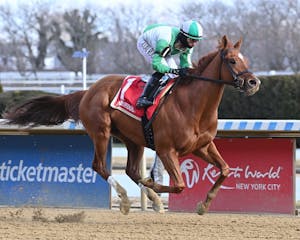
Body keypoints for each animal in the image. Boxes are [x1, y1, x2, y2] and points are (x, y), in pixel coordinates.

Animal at [2, 35, 260, 216]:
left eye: (246, 59)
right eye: (232, 60)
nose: (253, 82)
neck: (193, 105)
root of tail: (88, 91)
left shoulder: (202, 146)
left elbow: (225, 169)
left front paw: (203, 205)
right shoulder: (167, 150)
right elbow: (178, 185)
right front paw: (153, 184)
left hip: (133, 139)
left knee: (131, 170)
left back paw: (153, 200)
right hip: (101, 132)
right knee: (99, 166)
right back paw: (126, 199)